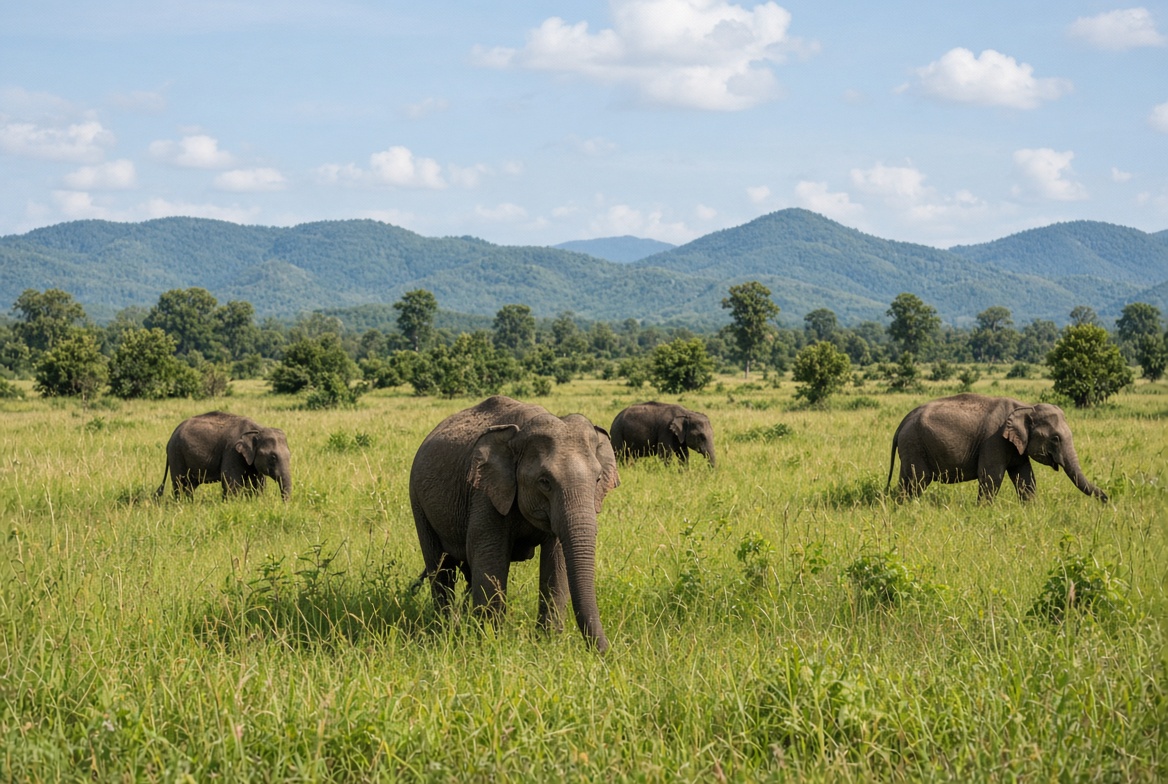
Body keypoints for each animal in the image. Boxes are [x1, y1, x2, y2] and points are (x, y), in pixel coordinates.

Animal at [156, 411, 292, 501]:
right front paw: (233, 504)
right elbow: (231, 481)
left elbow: (258, 483)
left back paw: (189, 503)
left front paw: (255, 501)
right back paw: (180, 504)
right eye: (272, 457)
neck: (257, 430)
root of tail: (170, 439)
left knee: (190, 484)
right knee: (180, 482)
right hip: (176, 454)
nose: (284, 505)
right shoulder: (231, 451)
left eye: (290, 456)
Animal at [409, 395, 620, 652]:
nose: (606, 653)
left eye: (598, 479)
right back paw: (447, 628)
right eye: (544, 482)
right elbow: (490, 559)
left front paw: (547, 642)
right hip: (418, 502)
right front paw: (491, 643)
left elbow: (557, 562)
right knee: (440, 567)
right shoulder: (486, 493)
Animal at [887, 393, 1107, 502]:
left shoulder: (1016, 445)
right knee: (918, 480)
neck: (1027, 407)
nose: (1106, 498)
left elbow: (1025, 477)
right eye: (1055, 439)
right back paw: (909, 507)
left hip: (912, 446)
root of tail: (904, 420)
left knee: (907, 479)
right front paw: (984, 510)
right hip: (915, 444)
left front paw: (1031, 510)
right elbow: (991, 476)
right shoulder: (994, 441)